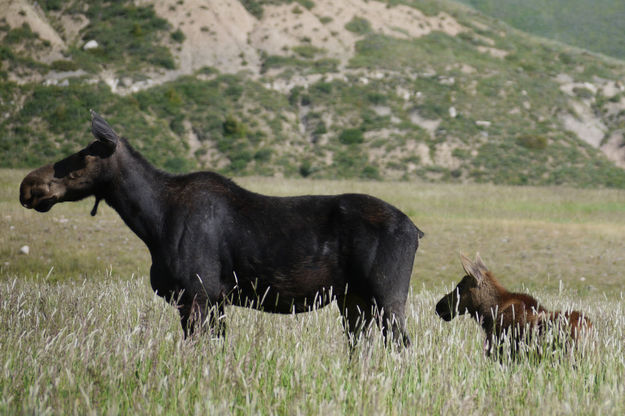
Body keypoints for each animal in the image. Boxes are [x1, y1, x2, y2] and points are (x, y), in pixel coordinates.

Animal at [20, 112, 424, 346]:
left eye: (81, 156)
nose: (28, 185)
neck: (151, 222)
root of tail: (416, 230)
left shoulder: (197, 294)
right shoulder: (215, 301)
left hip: (387, 297)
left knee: (402, 343)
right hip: (354, 301)